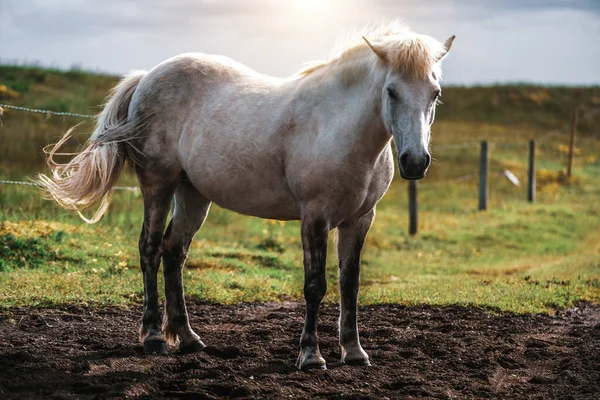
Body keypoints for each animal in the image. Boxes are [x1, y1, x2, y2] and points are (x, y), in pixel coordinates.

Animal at [38, 21, 454, 370]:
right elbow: (315, 286)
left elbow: (349, 285)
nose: (415, 161)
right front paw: (311, 356)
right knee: (150, 249)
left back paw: (188, 338)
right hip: (159, 184)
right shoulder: (315, 217)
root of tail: (146, 78)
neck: (337, 125)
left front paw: (353, 352)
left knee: (174, 253)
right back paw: (154, 337)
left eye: (434, 93)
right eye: (391, 91)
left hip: (193, 195)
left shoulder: (359, 220)